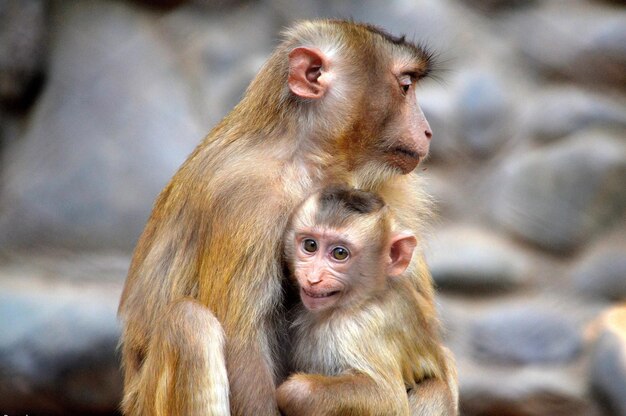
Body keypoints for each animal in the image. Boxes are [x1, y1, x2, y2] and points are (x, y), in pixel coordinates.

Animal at [278, 186, 454, 416]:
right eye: (310, 245)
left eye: (340, 253)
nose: (313, 277)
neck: (361, 299)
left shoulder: (361, 327)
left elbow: (387, 400)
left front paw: (291, 391)